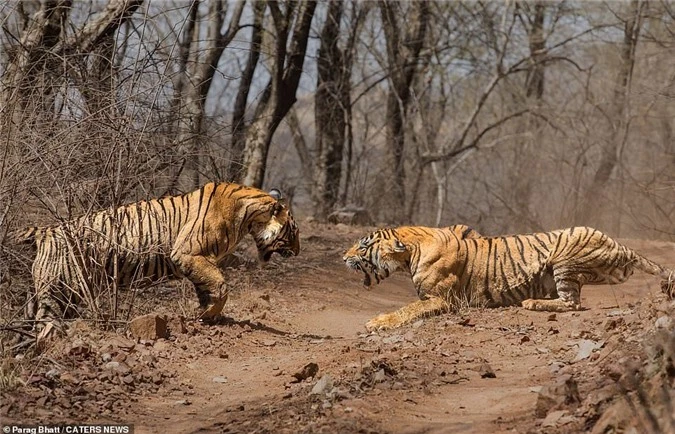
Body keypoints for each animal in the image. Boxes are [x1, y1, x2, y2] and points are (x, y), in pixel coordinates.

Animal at [10, 181, 300, 334]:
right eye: (294, 231)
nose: (298, 252)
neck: (249, 218)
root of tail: (47, 230)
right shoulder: (188, 253)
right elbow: (221, 286)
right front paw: (209, 314)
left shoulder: (198, 260)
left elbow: (207, 288)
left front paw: (205, 315)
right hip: (59, 291)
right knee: (46, 323)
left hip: (55, 290)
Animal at [346, 225, 672, 330]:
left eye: (363, 246)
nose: (343, 257)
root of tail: (620, 245)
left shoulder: (443, 298)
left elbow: (407, 309)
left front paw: (377, 322)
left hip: (565, 258)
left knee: (573, 303)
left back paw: (532, 303)